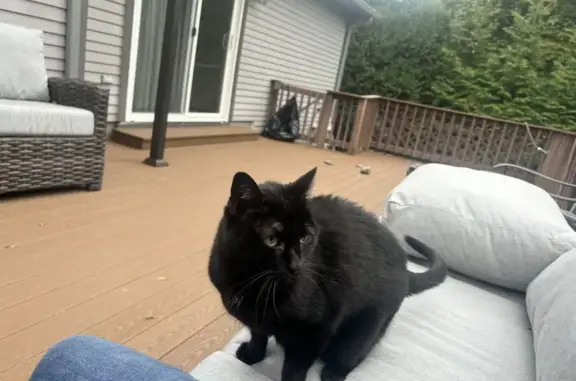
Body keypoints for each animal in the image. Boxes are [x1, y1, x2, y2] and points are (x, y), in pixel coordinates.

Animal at [209, 168, 448, 380]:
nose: (296, 265)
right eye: (272, 240)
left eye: (305, 238)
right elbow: (258, 336)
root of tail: (406, 269)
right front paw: (252, 355)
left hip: (364, 327)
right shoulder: (256, 322)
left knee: (354, 352)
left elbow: (293, 370)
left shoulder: (315, 331)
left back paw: (334, 372)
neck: (251, 281)